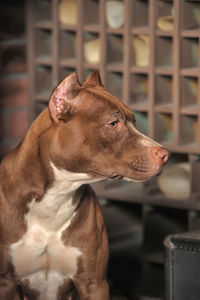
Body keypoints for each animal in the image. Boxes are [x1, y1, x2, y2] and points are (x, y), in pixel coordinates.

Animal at [0, 71, 169, 298]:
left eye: (134, 121)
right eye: (113, 123)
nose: (166, 155)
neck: (55, 196)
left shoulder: (94, 283)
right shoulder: (5, 283)